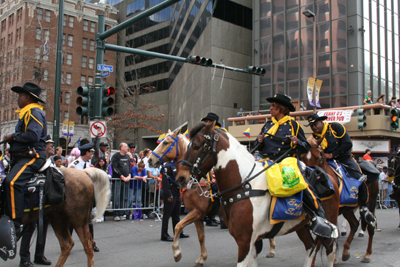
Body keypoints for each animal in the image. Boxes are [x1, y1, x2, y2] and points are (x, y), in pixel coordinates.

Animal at [148, 129, 276, 266]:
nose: (150, 159)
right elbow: (200, 236)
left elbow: (178, 226)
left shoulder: (197, 212)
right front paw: (202, 258)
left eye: (166, 143)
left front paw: (177, 252)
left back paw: (271, 249)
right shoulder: (197, 215)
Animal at [176, 122, 340, 267]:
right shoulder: (251, 243)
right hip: (302, 226)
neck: (245, 187)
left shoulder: (245, 241)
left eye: (197, 146)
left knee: (330, 252)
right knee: (311, 248)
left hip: (330, 224)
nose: (181, 178)